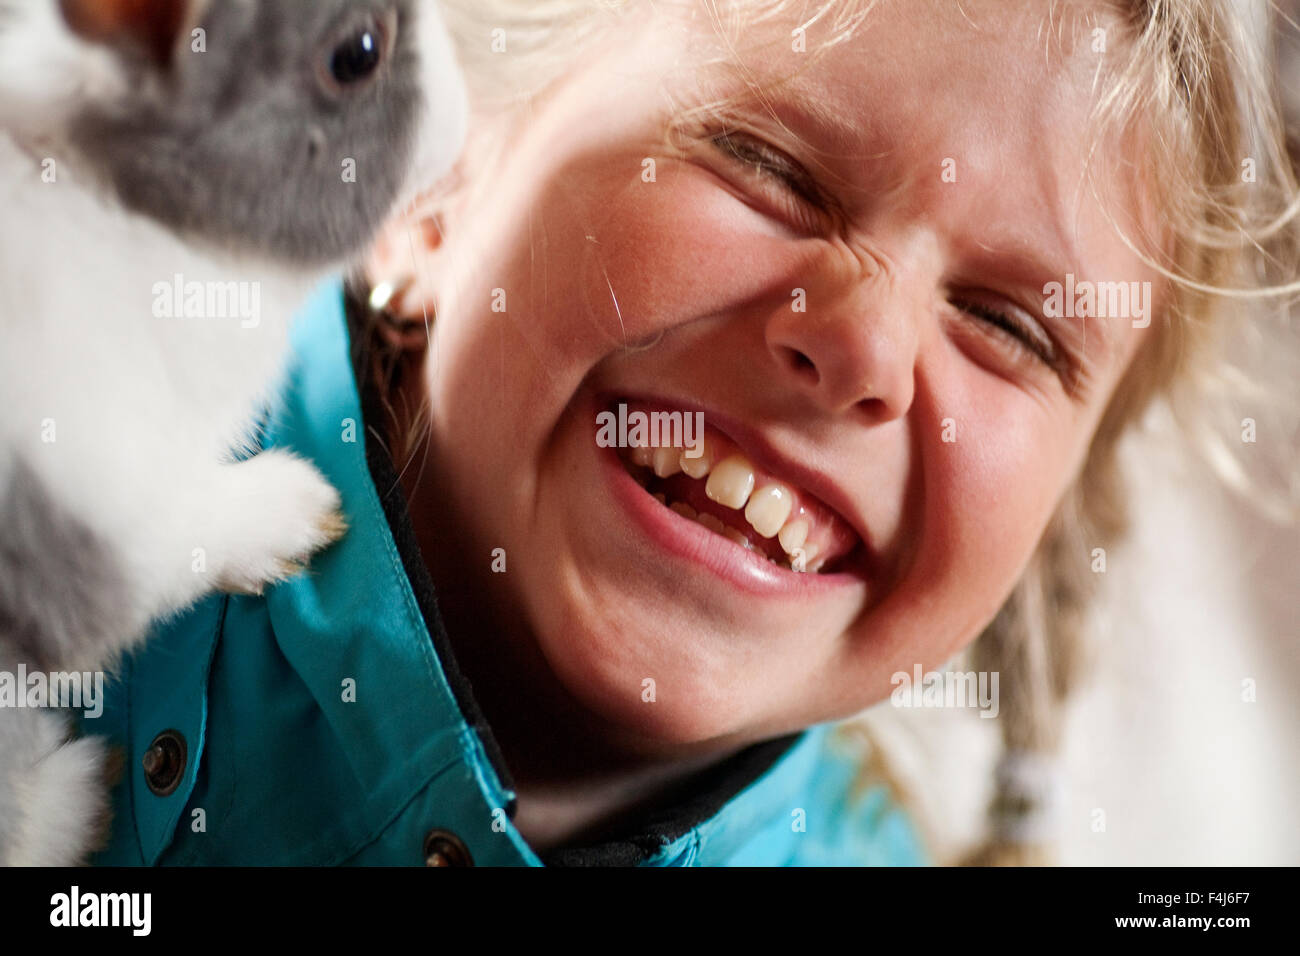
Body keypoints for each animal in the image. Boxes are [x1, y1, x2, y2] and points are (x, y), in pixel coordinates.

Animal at [0, 0, 467, 868]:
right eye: (358, 54)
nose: (467, 106)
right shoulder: (105, 528)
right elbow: (193, 536)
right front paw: (300, 510)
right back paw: (79, 796)